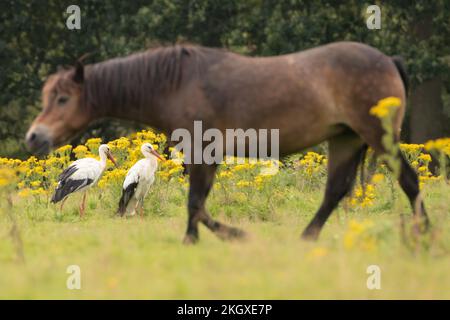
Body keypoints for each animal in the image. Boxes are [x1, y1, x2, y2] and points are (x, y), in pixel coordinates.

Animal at [24, 41, 428, 244]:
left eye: (62, 99)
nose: (34, 136)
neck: (176, 83)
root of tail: (388, 60)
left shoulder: (202, 151)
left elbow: (195, 203)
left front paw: (209, 238)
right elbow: (198, 204)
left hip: (377, 137)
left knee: (408, 181)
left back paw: (424, 233)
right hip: (345, 139)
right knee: (335, 191)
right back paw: (306, 239)